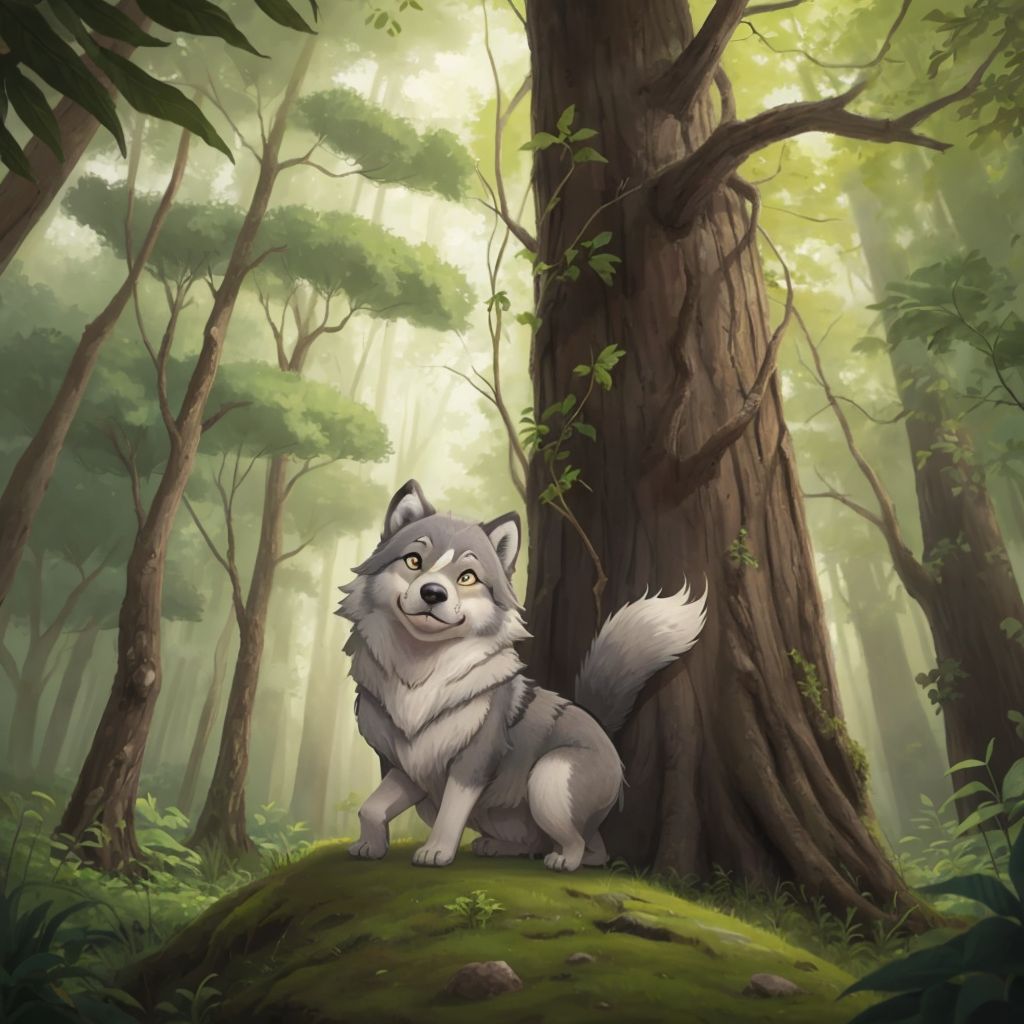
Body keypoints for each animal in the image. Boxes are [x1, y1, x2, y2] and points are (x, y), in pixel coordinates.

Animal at [338, 480, 706, 872]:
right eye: (413, 561)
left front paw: (436, 851)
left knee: (586, 846)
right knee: (549, 843)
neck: (420, 671)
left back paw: (563, 861)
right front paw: (369, 846)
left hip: (548, 777)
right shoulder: (411, 767)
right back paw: (495, 847)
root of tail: (603, 730)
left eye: (467, 577)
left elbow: (450, 813)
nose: (433, 592)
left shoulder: (474, 762)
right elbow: (371, 807)